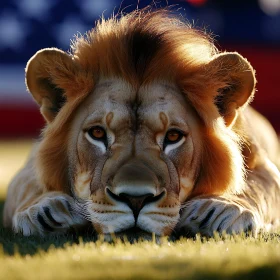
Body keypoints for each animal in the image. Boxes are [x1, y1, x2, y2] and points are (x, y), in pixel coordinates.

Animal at [3, 8, 280, 237]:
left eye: (173, 137)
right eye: (97, 133)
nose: (135, 200)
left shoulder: (264, 165)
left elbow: (261, 187)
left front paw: (222, 209)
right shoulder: (28, 168)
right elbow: (27, 186)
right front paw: (47, 210)